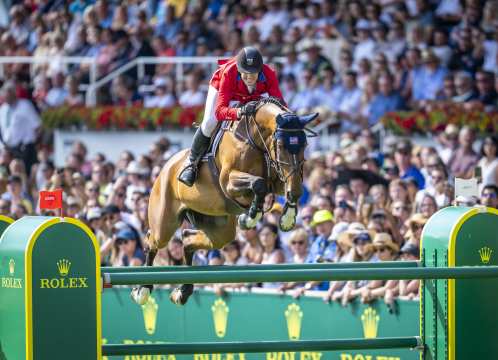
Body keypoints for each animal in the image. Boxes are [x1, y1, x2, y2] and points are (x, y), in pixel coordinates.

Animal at [131, 97, 320, 306]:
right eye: (280, 146)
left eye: (304, 145)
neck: (255, 139)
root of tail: (165, 167)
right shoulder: (229, 181)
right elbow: (259, 184)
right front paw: (250, 217)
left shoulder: (280, 178)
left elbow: (288, 189)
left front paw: (287, 218)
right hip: (164, 223)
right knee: (152, 240)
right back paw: (143, 290)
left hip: (219, 230)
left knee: (188, 239)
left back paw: (183, 291)